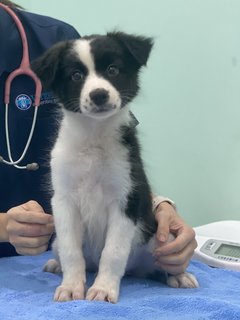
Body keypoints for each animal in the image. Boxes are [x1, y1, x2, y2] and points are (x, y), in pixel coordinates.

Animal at [31, 31, 198, 302]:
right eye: (76, 76)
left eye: (112, 69)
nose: (99, 94)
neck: (94, 136)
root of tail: (135, 269)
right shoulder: (64, 200)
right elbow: (70, 250)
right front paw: (71, 286)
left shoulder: (127, 197)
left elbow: (113, 251)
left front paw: (103, 289)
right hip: (59, 244)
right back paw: (56, 266)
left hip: (161, 237)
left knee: (162, 263)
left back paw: (178, 276)